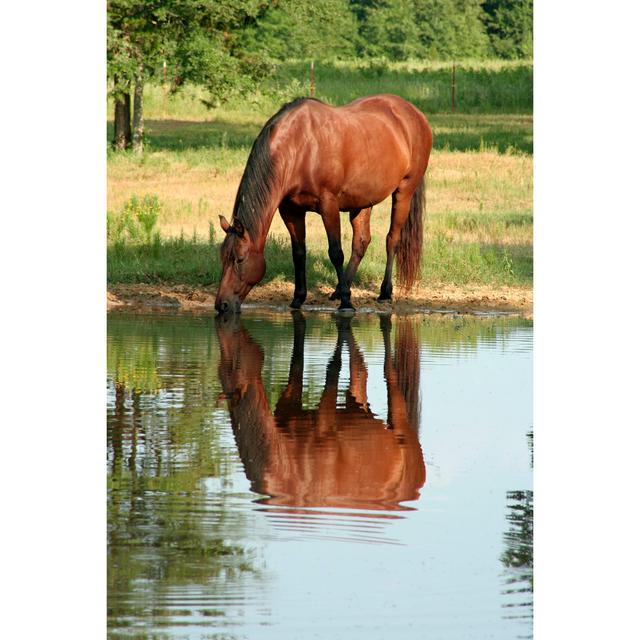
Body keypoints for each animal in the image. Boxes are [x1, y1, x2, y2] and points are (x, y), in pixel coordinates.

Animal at [216, 94, 436, 312]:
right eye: (222, 257)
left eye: (239, 259)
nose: (222, 304)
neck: (300, 147)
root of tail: (414, 113)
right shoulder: (291, 210)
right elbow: (299, 253)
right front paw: (298, 298)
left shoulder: (328, 205)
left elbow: (336, 252)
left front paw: (346, 302)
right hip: (363, 201)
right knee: (361, 242)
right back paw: (340, 288)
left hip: (404, 191)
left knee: (392, 239)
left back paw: (384, 292)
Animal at [218, 312, 428, 512]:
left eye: (235, 363)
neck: (280, 464)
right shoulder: (288, 404)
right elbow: (297, 362)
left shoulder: (324, 423)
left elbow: (333, 367)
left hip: (399, 418)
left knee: (389, 372)